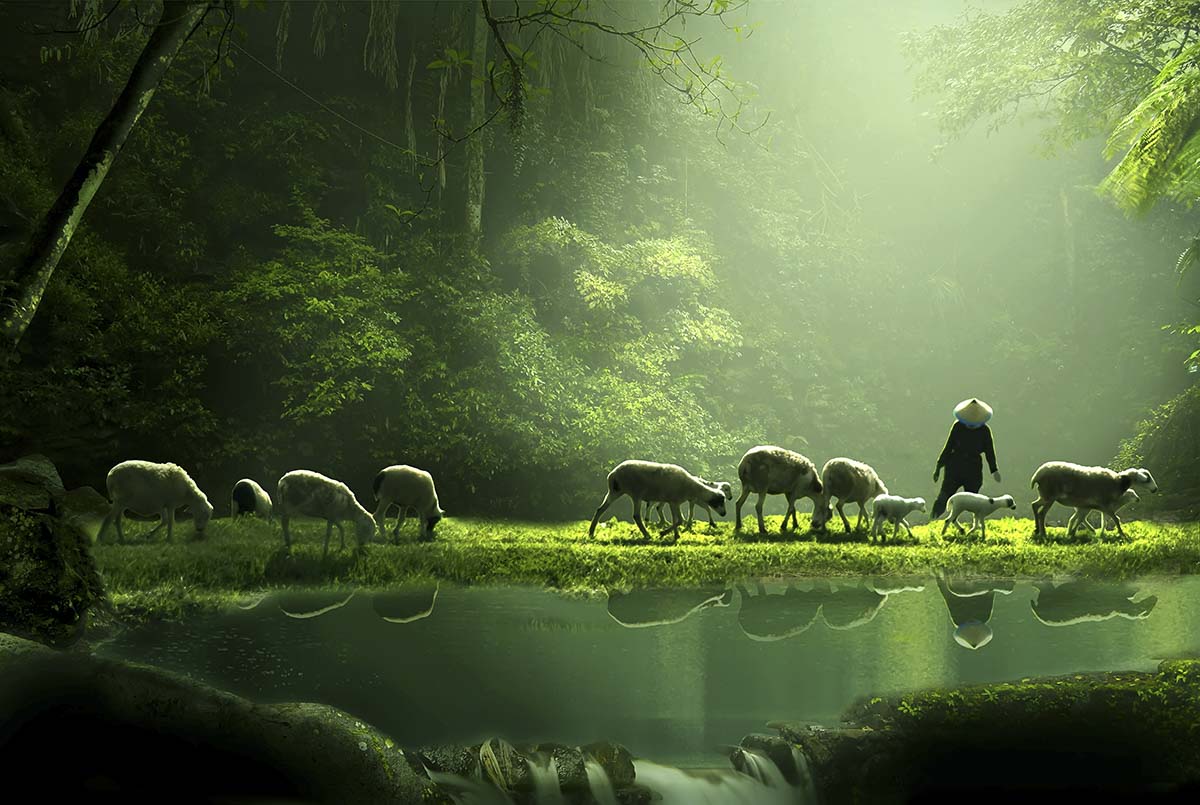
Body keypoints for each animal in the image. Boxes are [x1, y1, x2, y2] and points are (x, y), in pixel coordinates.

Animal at [585, 460, 724, 542]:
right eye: (721, 501)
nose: (724, 514)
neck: (691, 487)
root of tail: (613, 474)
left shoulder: (674, 502)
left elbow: (677, 520)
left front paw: (676, 536)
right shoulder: (673, 501)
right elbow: (679, 520)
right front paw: (663, 533)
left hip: (615, 492)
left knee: (600, 509)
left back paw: (591, 532)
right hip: (636, 494)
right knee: (636, 516)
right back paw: (647, 535)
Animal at [1027, 460, 1156, 542]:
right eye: (1147, 479)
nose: (1155, 489)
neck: (1118, 482)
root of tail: (1036, 476)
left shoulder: (1091, 506)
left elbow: (1081, 520)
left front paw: (1072, 533)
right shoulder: (1105, 505)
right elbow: (1115, 519)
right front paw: (1122, 534)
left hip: (1045, 496)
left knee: (1034, 505)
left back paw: (1036, 530)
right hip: (1050, 496)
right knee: (1041, 513)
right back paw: (1043, 533)